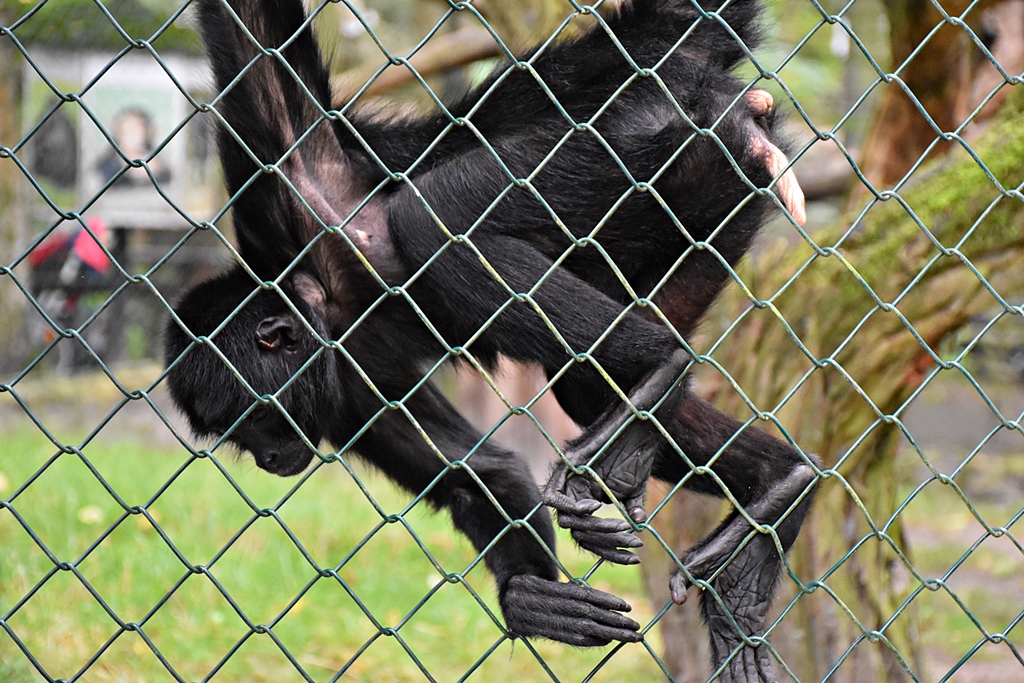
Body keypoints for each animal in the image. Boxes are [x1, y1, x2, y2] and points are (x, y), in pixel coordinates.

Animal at [164, 0, 818, 678]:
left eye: (254, 420)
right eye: (239, 436)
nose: (268, 458)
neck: (324, 303)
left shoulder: (290, 183)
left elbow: (255, 38)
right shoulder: (348, 391)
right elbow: (477, 471)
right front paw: (530, 599)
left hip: (630, 152)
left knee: (436, 218)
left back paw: (664, 373)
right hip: (710, 196)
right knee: (587, 385)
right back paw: (780, 487)